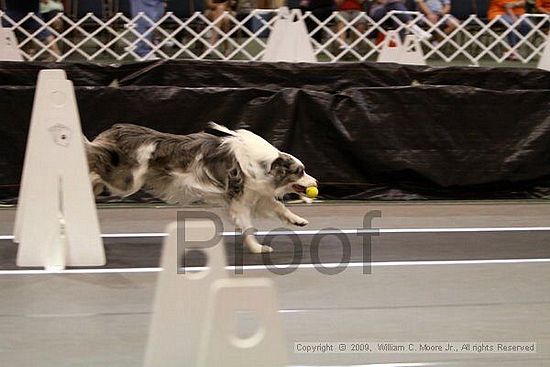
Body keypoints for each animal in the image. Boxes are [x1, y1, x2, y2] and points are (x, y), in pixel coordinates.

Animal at [86, 123, 320, 253]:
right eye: (300, 171)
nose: (316, 182)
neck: (264, 165)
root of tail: (114, 131)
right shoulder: (240, 202)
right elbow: (248, 227)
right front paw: (257, 248)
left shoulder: (255, 195)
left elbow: (278, 207)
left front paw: (297, 220)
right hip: (127, 181)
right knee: (95, 167)